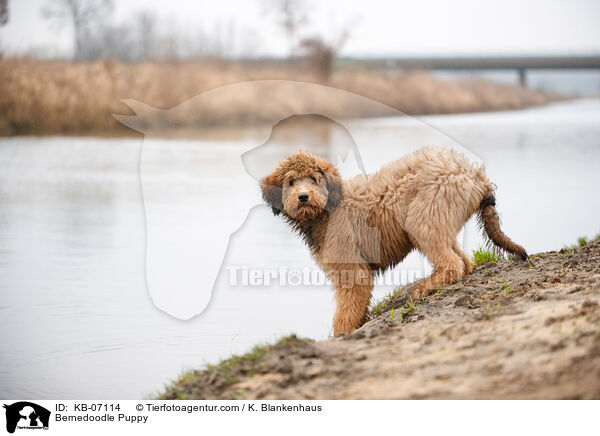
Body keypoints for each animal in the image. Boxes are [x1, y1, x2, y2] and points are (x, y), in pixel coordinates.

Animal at [260, 148, 528, 336]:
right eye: (291, 181)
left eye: (314, 179)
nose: (303, 197)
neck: (329, 208)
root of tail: (475, 173)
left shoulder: (351, 268)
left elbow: (347, 308)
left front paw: (341, 334)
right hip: (440, 219)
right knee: (463, 261)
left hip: (423, 216)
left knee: (453, 264)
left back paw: (424, 287)